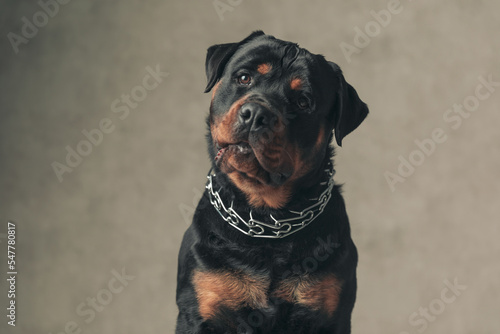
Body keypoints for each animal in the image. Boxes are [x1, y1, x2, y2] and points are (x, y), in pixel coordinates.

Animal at [176, 31, 368, 334]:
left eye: (303, 101)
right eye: (244, 77)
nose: (255, 114)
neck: (265, 220)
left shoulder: (330, 313)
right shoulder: (198, 309)